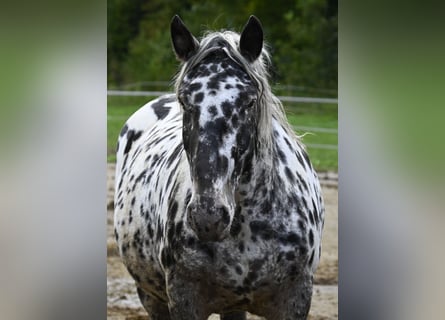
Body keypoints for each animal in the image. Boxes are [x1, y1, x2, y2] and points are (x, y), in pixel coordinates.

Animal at [113, 15, 322, 320]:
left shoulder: (295, 299)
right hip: (151, 297)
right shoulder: (184, 301)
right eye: (185, 101)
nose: (208, 217)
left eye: (249, 101)